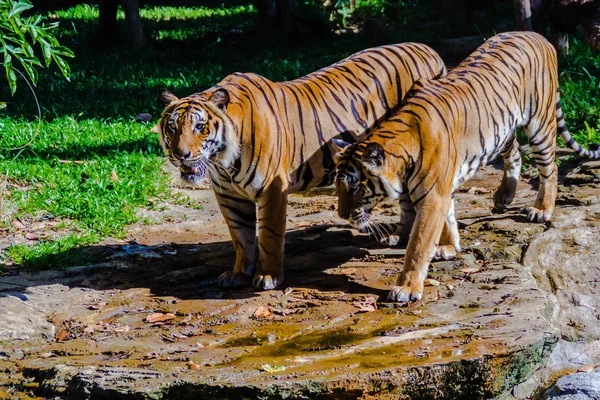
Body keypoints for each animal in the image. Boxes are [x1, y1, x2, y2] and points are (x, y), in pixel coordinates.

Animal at [152, 42, 448, 290]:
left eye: (199, 127)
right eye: (173, 127)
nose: (181, 154)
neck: (222, 162)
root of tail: (428, 48)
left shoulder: (272, 189)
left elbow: (269, 235)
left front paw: (268, 276)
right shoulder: (229, 196)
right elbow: (241, 237)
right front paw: (238, 274)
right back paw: (399, 236)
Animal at [332, 32, 600, 304]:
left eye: (355, 187)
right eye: (338, 186)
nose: (342, 215)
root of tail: (537, 35)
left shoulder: (433, 196)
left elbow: (418, 243)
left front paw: (406, 287)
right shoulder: (441, 189)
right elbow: (447, 218)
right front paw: (449, 247)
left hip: (539, 122)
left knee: (549, 168)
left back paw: (542, 210)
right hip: (501, 129)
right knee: (515, 153)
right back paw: (504, 196)